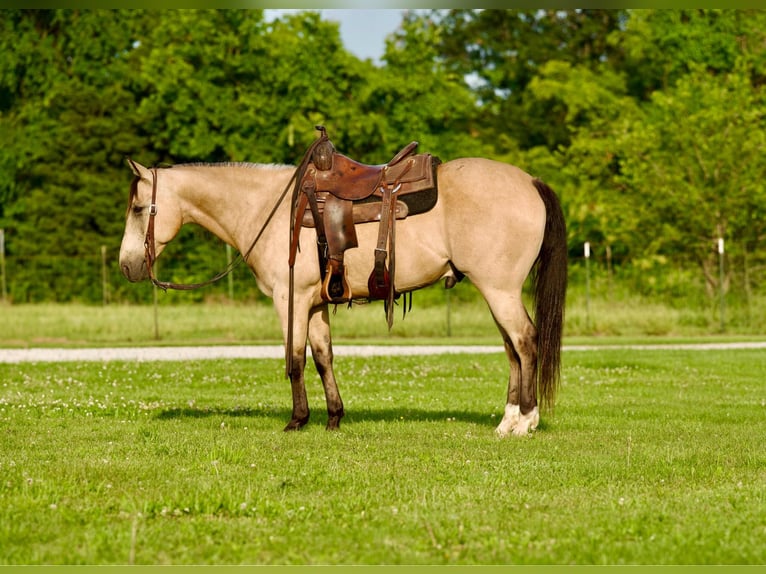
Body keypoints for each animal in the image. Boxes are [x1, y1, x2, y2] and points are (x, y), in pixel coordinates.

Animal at [118, 136, 564, 440]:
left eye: (138, 209)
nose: (127, 266)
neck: (267, 209)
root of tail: (530, 182)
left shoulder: (290, 299)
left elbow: (295, 360)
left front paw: (297, 420)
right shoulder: (315, 303)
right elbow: (322, 358)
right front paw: (333, 417)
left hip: (500, 290)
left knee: (525, 341)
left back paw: (525, 420)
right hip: (496, 292)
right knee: (511, 348)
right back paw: (507, 420)